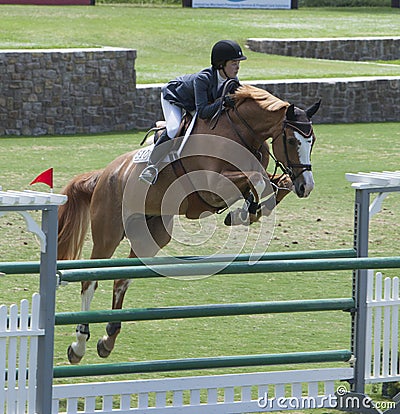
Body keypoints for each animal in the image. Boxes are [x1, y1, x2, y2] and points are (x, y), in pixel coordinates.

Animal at [57, 84, 320, 362]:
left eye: (312, 141)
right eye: (291, 141)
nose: (307, 187)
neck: (242, 131)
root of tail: (104, 174)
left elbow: (276, 182)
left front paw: (249, 211)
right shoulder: (212, 185)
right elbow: (257, 179)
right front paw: (246, 211)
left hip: (152, 234)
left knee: (122, 280)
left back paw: (108, 338)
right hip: (108, 232)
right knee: (90, 281)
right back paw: (78, 345)